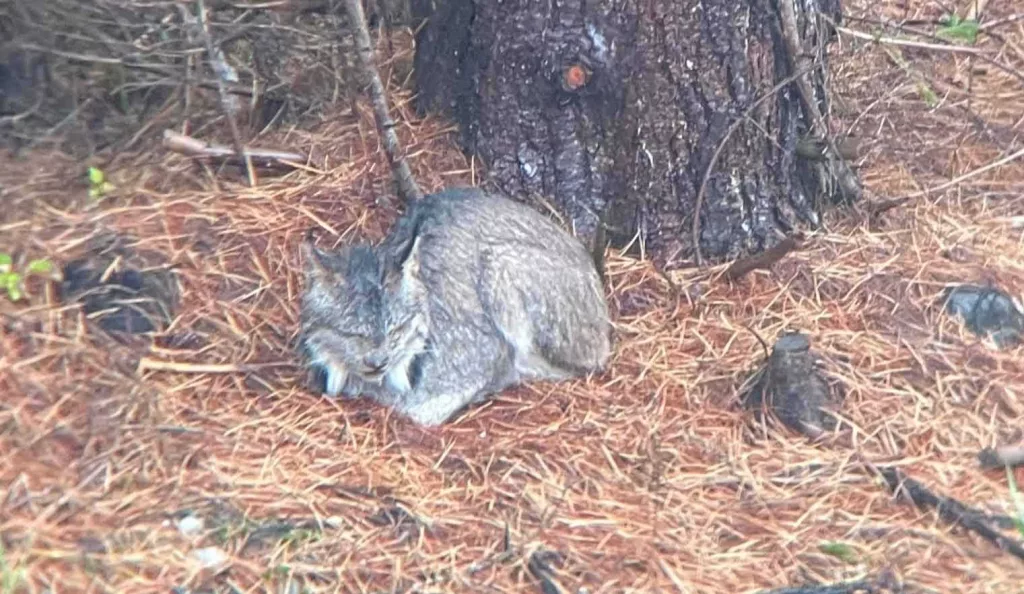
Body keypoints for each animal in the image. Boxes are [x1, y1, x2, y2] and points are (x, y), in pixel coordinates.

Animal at [299, 188, 614, 423]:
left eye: (397, 329)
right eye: (352, 334)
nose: (378, 362)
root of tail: (589, 263)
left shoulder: (484, 354)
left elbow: (417, 407)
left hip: (498, 262)